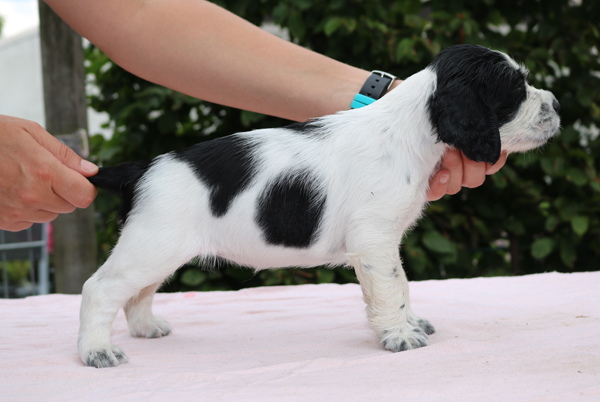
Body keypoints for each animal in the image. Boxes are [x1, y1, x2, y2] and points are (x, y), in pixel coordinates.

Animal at [80, 44, 560, 368]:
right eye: (515, 89)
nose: (556, 103)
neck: (407, 128)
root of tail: (143, 167)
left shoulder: (383, 242)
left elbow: (401, 286)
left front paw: (409, 323)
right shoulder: (374, 240)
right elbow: (393, 287)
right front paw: (401, 337)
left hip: (158, 249)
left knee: (137, 293)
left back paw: (146, 328)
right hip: (151, 247)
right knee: (99, 288)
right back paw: (97, 350)